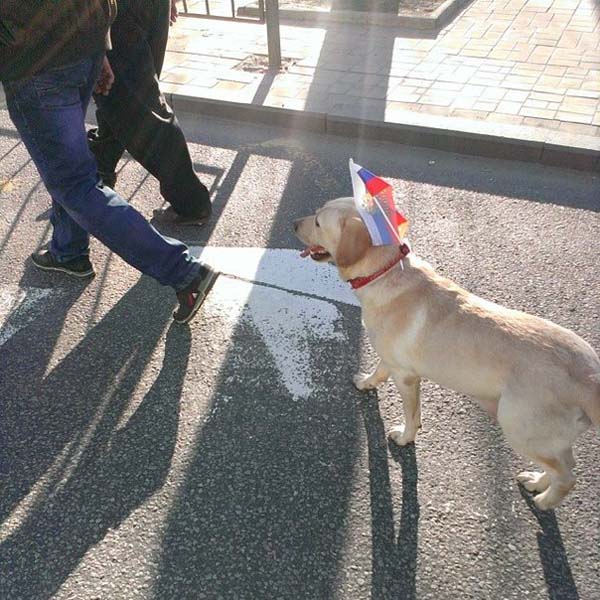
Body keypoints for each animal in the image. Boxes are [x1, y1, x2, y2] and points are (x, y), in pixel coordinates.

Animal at [294, 198, 600, 510]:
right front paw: (366, 382)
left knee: (568, 476)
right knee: (566, 464)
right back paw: (537, 481)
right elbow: (379, 371)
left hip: (520, 426)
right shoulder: (391, 359)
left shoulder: (406, 377)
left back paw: (545, 501)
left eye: (318, 222)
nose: (293, 224)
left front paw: (405, 438)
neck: (387, 270)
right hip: (547, 437)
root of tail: (590, 376)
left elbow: (411, 414)